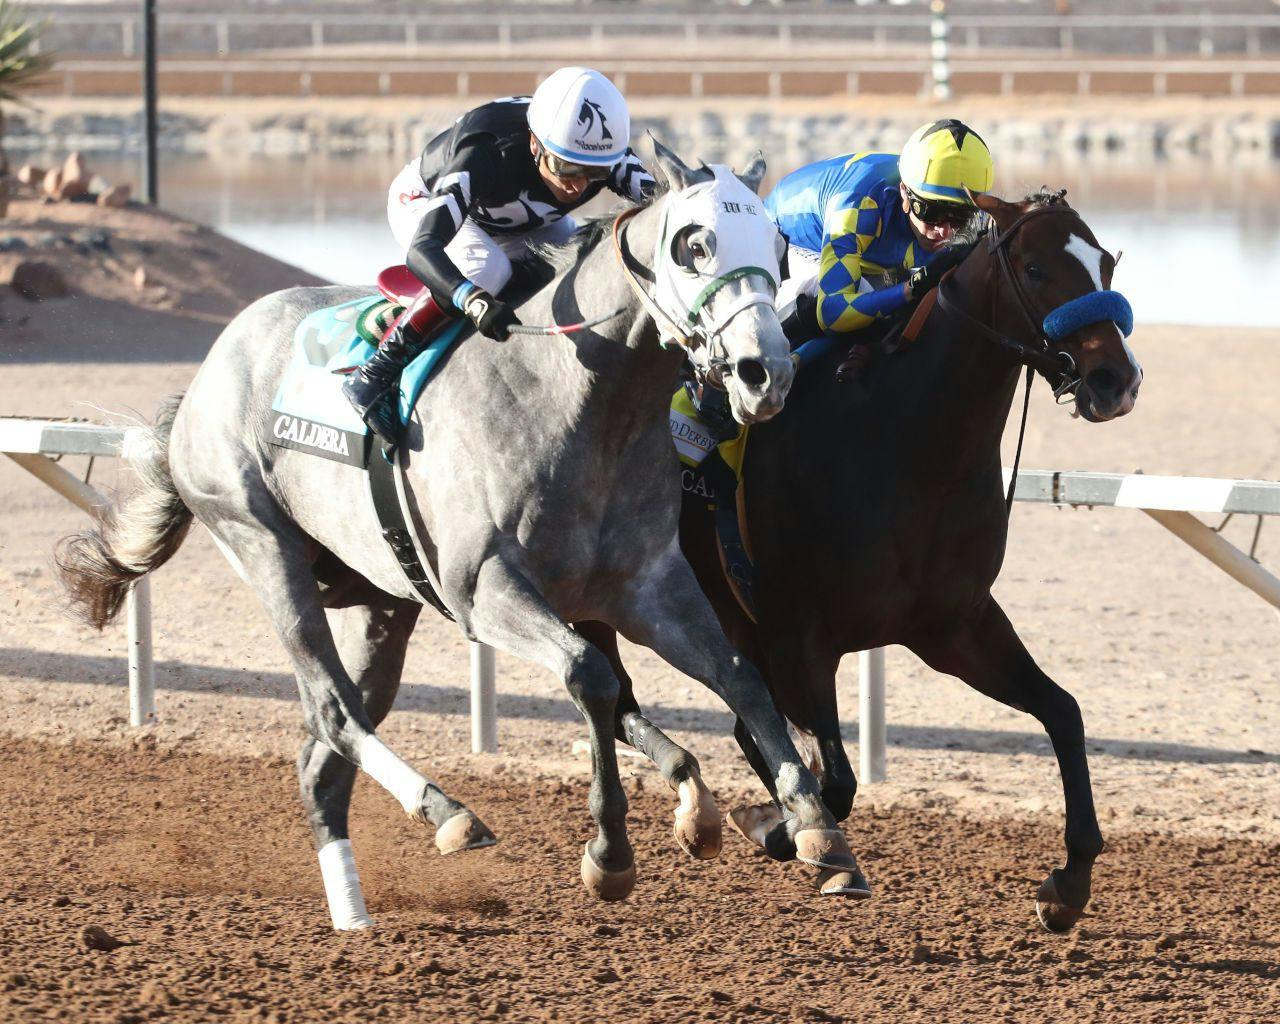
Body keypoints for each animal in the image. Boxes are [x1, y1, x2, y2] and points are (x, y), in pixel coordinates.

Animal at [57, 142, 860, 926]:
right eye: (695, 244)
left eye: (779, 248)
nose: (765, 374)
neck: (579, 399)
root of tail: (203, 378)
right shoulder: (486, 591)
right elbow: (593, 679)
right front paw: (610, 853)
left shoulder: (646, 587)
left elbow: (740, 677)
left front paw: (817, 831)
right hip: (264, 544)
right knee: (333, 711)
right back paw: (448, 814)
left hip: (381, 599)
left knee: (323, 756)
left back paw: (353, 911)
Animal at [593, 188, 1146, 931]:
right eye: (1033, 268)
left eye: (1106, 262)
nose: (1115, 380)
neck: (908, 446)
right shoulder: (800, 635)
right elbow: (837, 780)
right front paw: (783, 831)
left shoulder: (953, 627)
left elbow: (1064, 713)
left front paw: (1069, 882)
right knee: (614, 695)